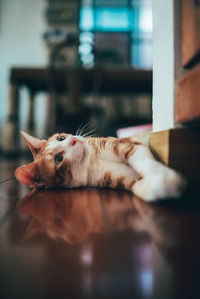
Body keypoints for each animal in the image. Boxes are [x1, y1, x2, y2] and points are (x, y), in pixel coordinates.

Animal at [14, 131, 186, 203]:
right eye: (58, 159)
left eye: (61, 138)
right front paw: (161, 185)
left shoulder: (126, 144)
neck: (90, 163)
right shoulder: (122, 178)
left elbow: (142, 160)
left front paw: (167, 178)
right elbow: (143, 188)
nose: (74, 141)